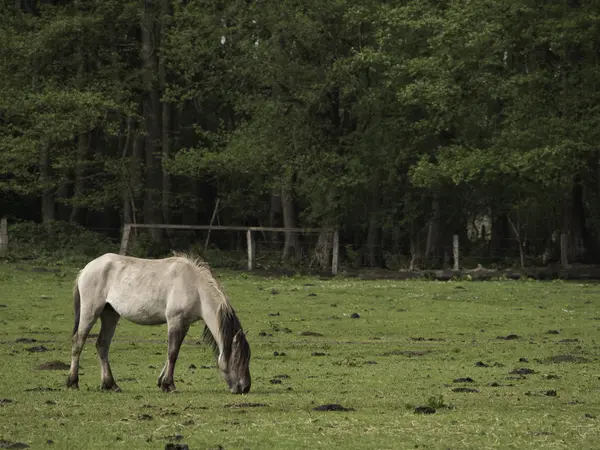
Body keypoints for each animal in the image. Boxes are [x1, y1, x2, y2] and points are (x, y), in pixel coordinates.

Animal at [65, 251, 251, 396]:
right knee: (78, 341)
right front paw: (170, 385)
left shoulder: (184, 324)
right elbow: (172, 353)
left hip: (110, 314)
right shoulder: (175, 320)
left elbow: (174, 352)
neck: (195, 286)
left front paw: (162, 382)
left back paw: (110, 385)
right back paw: (73, 382)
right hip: (91, 311)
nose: (245, 387)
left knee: (102, 345)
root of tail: (86, 269)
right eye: (237, 358)